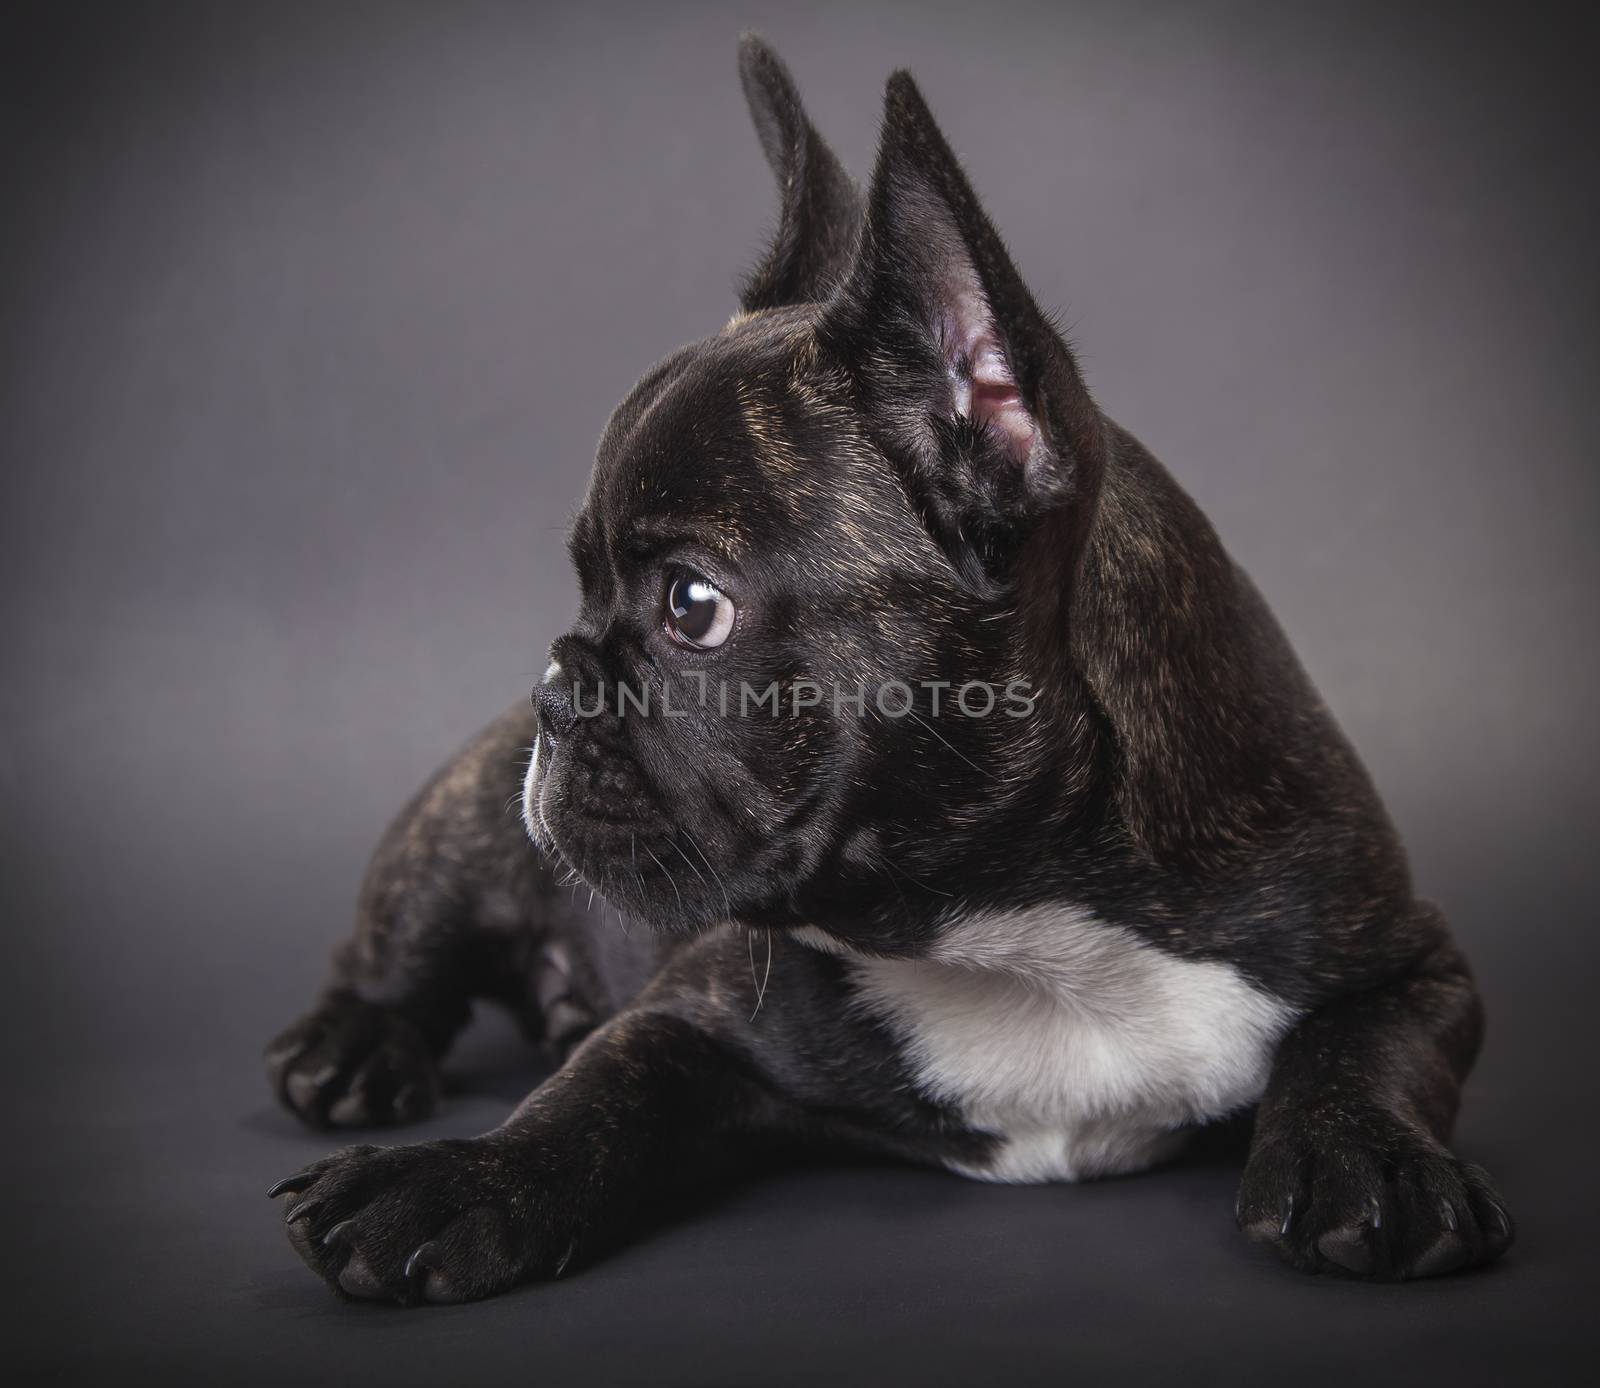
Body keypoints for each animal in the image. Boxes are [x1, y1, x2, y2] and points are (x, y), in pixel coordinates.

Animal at [265, 37, 1510, 1304]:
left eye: (690, 607)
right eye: (580, 584)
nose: (556, 687)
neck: (1017, 929)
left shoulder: (1402, 953)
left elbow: (1365, 1046)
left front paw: (1369, 1160)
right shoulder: (687, 1013)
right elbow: (591, 1097)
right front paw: (456, 1177)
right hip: (454, 834)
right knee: (392, 957)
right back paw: (349, 1047)